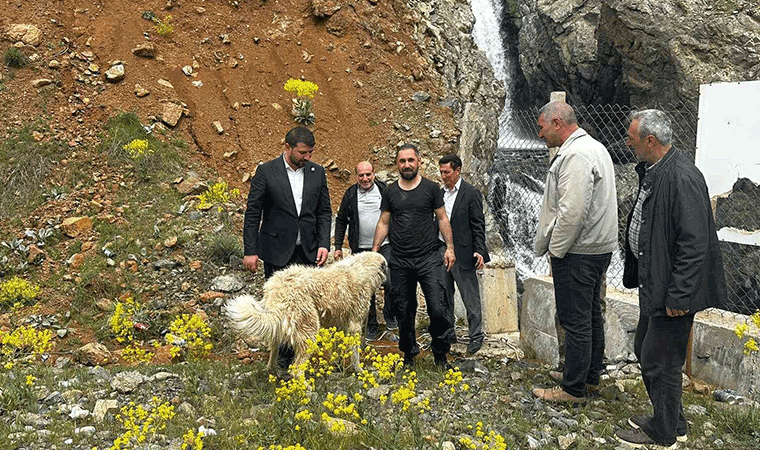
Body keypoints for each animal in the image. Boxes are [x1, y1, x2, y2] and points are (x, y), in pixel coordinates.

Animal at [223, 251, 382, 374]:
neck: (360, 268)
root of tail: (277, 289)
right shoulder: (354, 324)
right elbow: (354, 351)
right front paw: (358, 369)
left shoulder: (339, 324)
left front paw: (337, 364)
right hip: (309, 327)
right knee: (296, 369)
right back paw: (305, 388)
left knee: (275, 346)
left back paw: (272, 369)